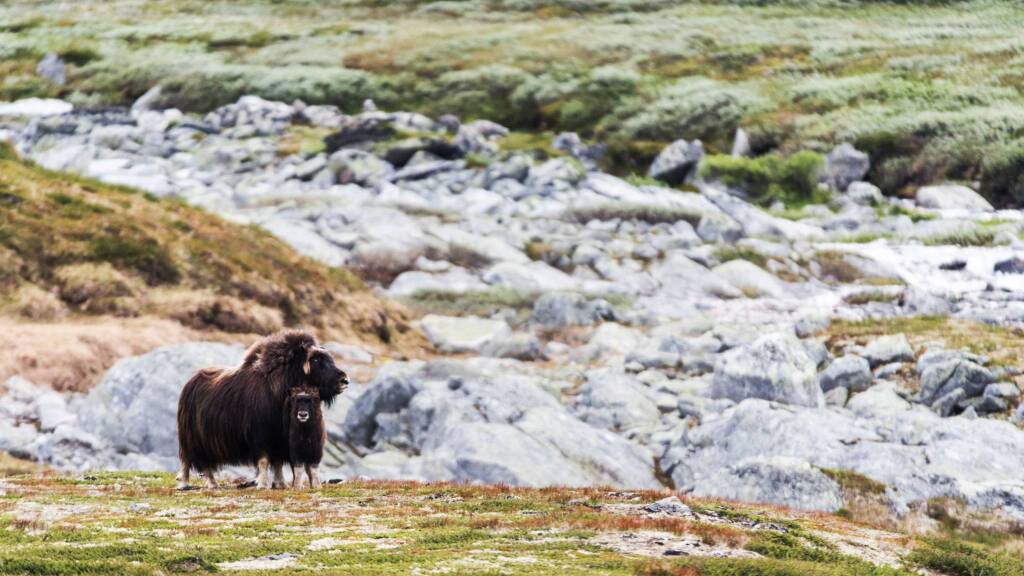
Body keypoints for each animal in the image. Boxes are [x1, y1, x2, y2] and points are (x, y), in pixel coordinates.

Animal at [176, 330, 348, 485]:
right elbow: (264, 460)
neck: (281, 387)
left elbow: (278, 463)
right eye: (316, 361)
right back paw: (192, 484)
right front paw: (263, 484)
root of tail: (190, 383)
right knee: (192, 461)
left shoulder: (280, 439)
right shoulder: (260, 435)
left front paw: (280, 484)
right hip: (193, 440)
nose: (345, 380)